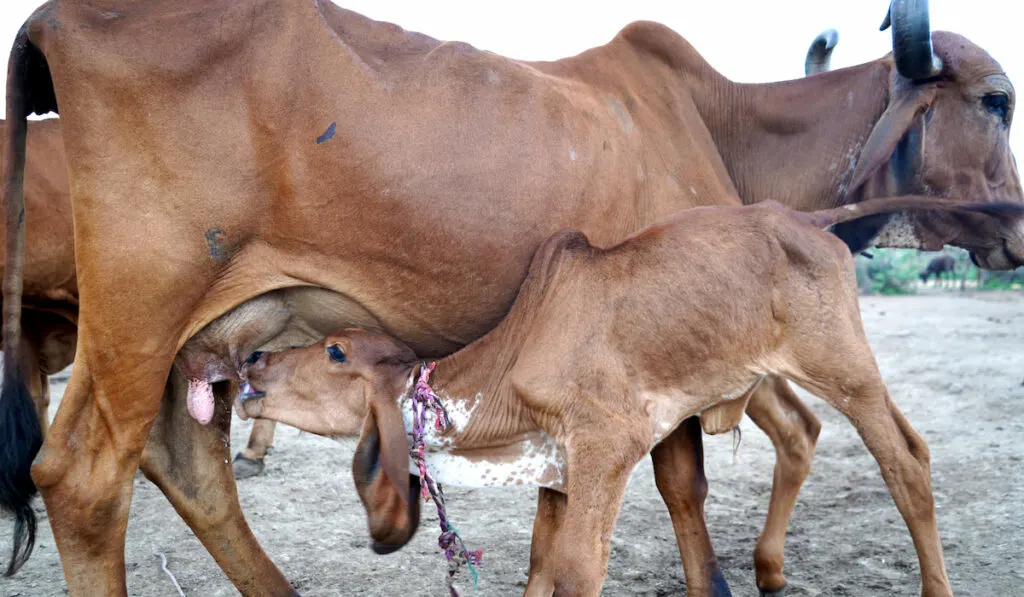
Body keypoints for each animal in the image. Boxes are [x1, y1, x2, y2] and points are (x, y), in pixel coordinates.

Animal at [235, 198, 1011, 597]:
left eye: (336, 350)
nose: (253, 358)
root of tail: (811, 221)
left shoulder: (607, 447)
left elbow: (580, 570)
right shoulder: (556, 469)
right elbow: (539, 565)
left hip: (846, 368)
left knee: (906, 460)